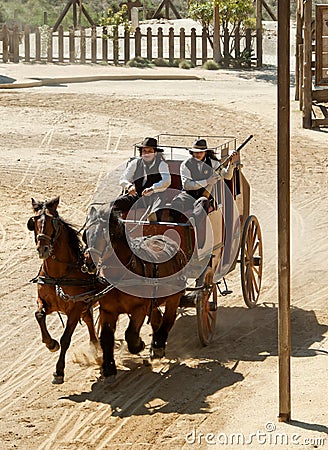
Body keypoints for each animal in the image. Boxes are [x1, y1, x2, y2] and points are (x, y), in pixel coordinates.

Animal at [27, 197, 99, 384]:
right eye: (34, 221)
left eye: (53, 220)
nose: (43, 249)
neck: (59, 275)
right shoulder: (46, 302)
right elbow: (39, 315)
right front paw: (51, 344)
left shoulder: (75, 308)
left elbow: (66, 338)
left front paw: (59, 371)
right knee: (89, 320)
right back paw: (96, 346)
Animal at [84, 207, 187, 380]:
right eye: (86, 234)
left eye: (103, 235)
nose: (87, 262)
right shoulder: (108, 310)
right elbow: (106, 338)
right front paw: (108, 368)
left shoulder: (139, 309)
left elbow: (131, 334)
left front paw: (139, 345)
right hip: (154, 301)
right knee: (157, 319)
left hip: (174, 297)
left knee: (168, 319)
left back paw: (158, 346)